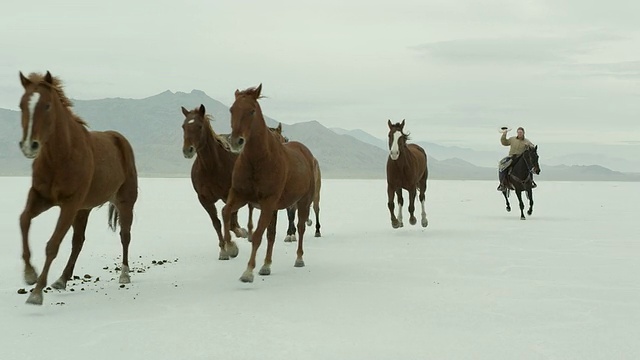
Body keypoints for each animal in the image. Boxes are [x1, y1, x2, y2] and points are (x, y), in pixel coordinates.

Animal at [17, 71, 138, 306]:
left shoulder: (69, 204)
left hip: (124, 203)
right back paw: (62, 280)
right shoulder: (41, 197)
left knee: (125, 235)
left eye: (47, 105)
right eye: (22, 105)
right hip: (84, 209)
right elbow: (24, 220)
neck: (61, 156)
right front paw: (29, 274)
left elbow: (52, 244)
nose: (29, 146)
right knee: (78, 242)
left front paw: (36, 292)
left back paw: (124, 274)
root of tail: (119, 139)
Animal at [180, 104, 255, 258]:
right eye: (183, 126)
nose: (187, 150)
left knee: (248, 209)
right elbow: (217, 222)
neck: (212, 167)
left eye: (199, 126)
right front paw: (223, 249)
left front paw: (231, 245)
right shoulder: (204, 199)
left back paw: (246, 232)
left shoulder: (230, 195)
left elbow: (227, 215)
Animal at [222, 85, 318, 284]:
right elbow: (226, 212)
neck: (258, 160)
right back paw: (266, 265)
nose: (235, 141)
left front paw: (248, 272)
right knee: (272, 235)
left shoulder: (267, 202)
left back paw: (299, 258)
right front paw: (230, 247)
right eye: (232, 110)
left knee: (301, 227)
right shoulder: (240, 195)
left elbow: (258, 234)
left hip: (303, 202)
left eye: (251, 111)